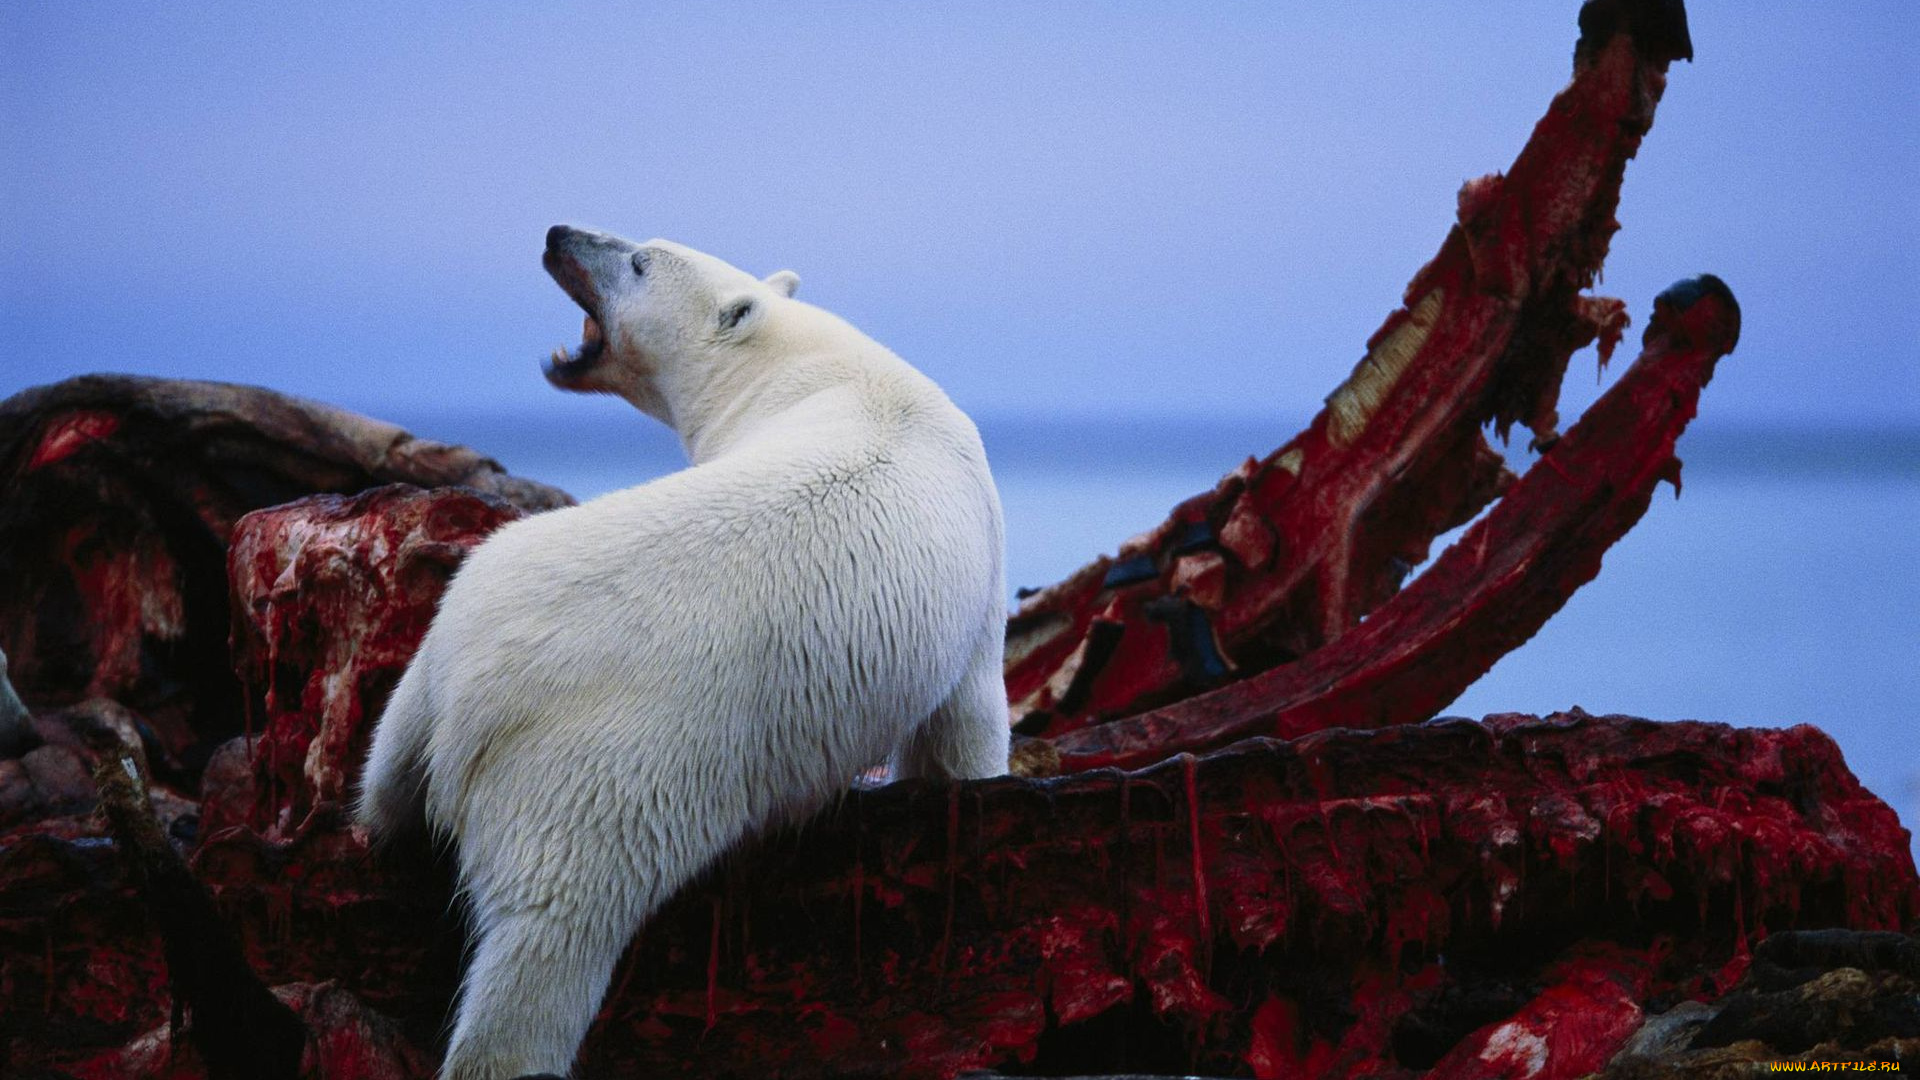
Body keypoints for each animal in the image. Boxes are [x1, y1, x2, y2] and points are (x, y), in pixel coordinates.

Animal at [355, 226, 1010, 1080]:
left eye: (636, 258)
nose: (557, 234)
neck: (807, 370)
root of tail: (481, 687)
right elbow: (968, 719)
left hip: (450, 632)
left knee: (386, 770)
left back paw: (375, 827)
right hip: (602, 773)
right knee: (550, 939)